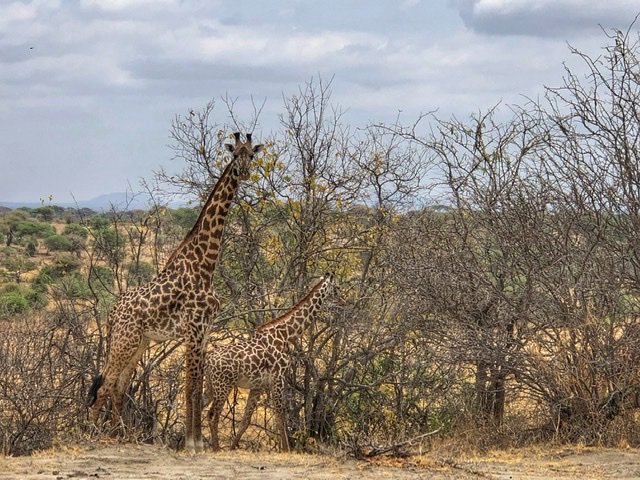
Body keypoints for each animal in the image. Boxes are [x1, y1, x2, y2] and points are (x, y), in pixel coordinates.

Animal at [87, 132, 262, 454]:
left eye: (252, 155)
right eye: (234, 155)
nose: (243, 172)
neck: (206, 265)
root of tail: (113, 313)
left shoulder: (205, 332)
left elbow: (197, 387)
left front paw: (198, 442)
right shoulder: (193, 331)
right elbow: (191, 387)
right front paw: (192, 443)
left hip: (139, 342)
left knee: (119, 385)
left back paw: (122, 433)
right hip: (124, 341)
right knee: (106, 383)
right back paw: (93, 431)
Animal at [205, 272, 338, 452]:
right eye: (337, 288)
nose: (344, 301)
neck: (286, 334)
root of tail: (208, 360)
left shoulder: (258, 386)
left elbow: (246, 420)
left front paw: (233, 447)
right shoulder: (277, 378)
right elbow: (280, 414)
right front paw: (286, 449)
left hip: (210, 386)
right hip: (222, 386)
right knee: (213, 415)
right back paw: (216, 448)